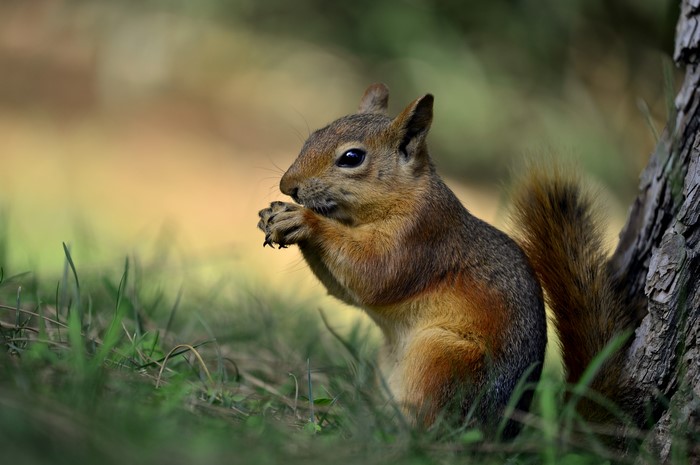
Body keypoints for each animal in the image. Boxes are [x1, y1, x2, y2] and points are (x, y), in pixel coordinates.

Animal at [257, 83, 637, 437]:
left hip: (443, 359)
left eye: (352, 157)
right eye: (313, 136)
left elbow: (374, 275)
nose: (287, 186)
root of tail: (501, 431)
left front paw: (304, 221)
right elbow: (347, 292)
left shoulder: (422, 237)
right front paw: (272, 216)